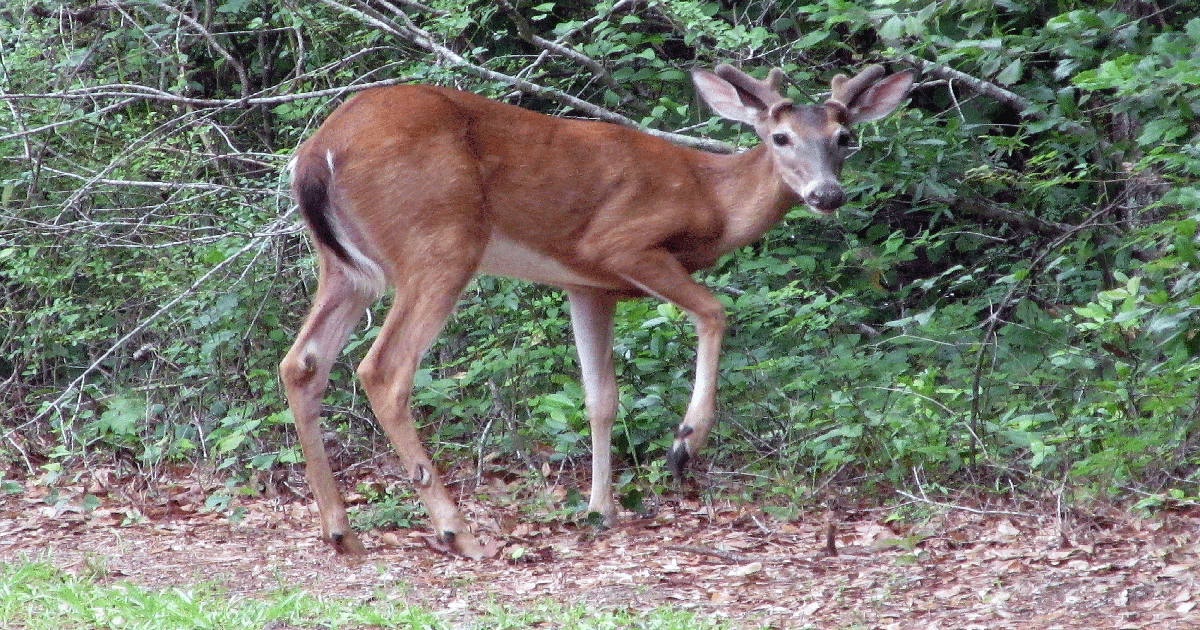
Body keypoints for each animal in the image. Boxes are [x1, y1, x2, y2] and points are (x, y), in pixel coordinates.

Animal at [280, 62, 912, 554]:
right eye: (780, 137)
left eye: (844, 138)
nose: (827, 195)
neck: (710, 196)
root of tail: (317, 152)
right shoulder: (621, 244)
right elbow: (714, 312)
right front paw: (685, 443)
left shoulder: (588, 286)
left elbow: (600, 397)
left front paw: (600, 509)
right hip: (439, 241)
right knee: (384, 369)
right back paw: (459, 533)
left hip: (347, 268)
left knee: (301, 363)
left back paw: (341, 533)